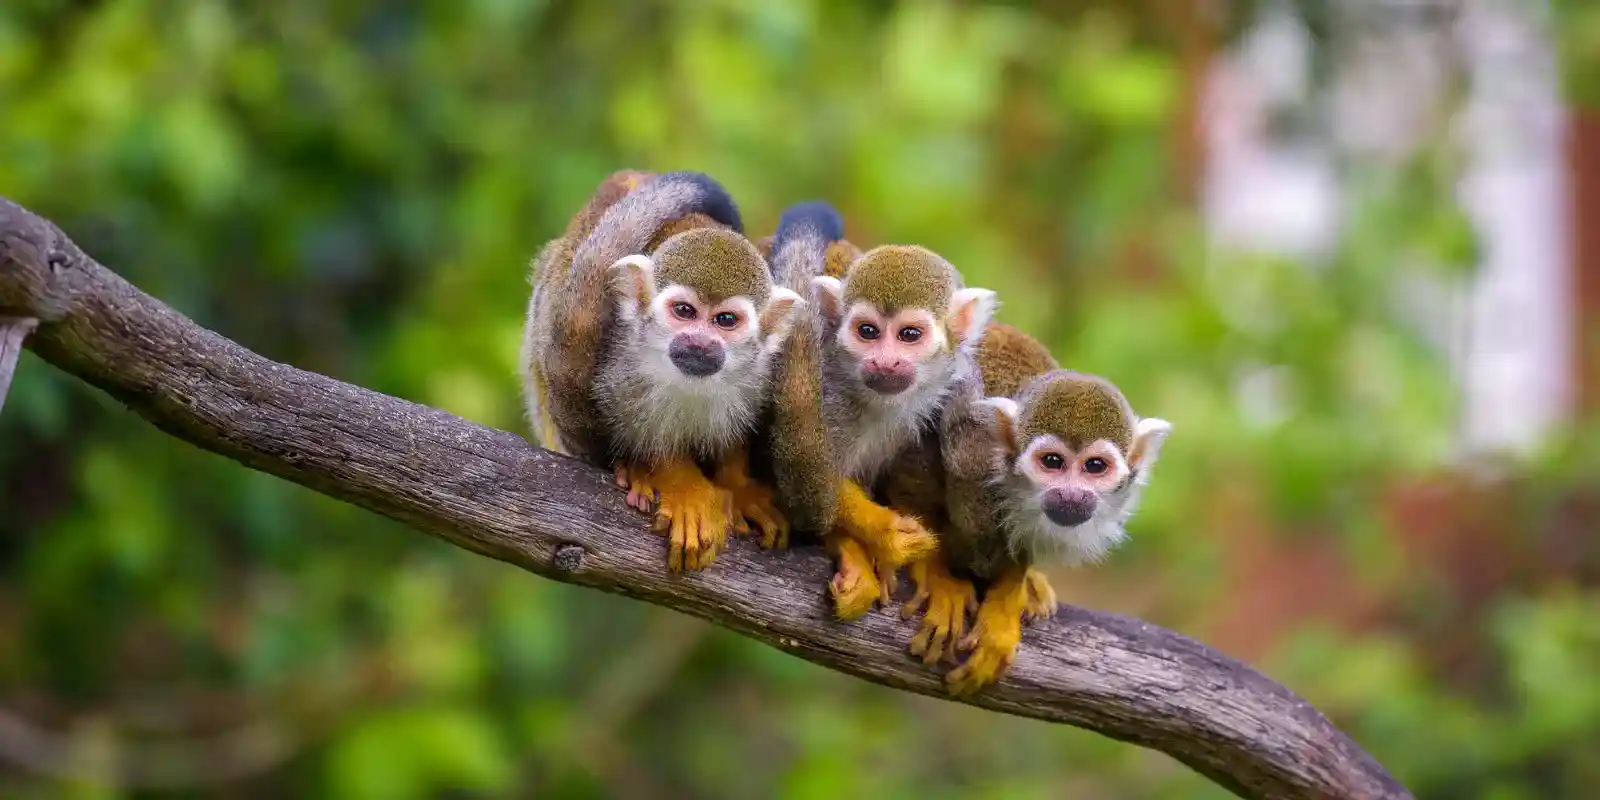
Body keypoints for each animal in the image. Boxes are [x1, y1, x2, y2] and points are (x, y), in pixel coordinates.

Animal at [521, 170, 806, 572]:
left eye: (726, 320)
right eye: (684, 312)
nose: (699, 343)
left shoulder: (764, 369)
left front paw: (737, 485)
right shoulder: (620, 361)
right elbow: (638, 430)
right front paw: (680, 483)